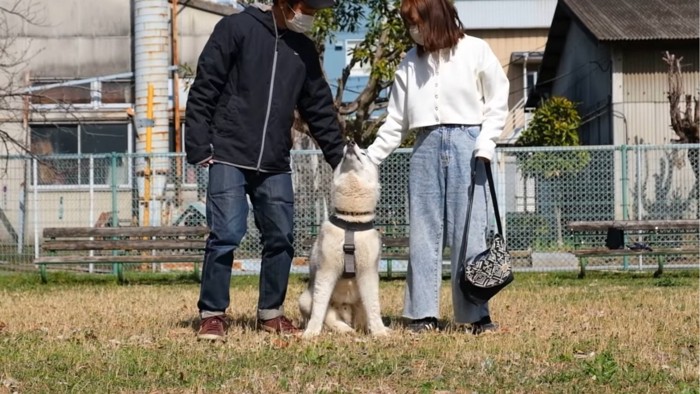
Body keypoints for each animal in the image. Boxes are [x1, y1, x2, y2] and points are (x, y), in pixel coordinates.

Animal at [298, 142, 392, 338]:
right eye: (341, 157)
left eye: (364, 152)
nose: (349, 142)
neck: (351, 221)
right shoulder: (326, 270)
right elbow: (319, 309)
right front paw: (311, 333)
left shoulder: (368, 272)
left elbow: (374, 307)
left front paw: (379, 332)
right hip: (305, 299)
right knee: (329, 319)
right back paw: (344, 329)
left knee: (364, 320)